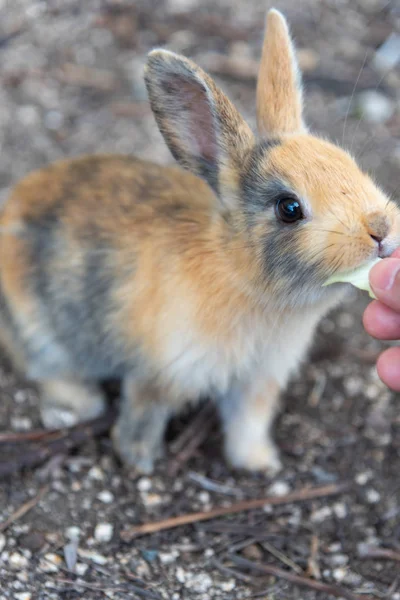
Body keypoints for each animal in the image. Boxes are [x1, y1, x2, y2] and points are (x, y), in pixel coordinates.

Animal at [0, 7, 400, 476]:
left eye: (349, 163)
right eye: (289, 208)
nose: (380, 230)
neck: (238, 273)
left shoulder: (257, 382)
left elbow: (247, 424)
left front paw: (259, 462)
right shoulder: (162, 374)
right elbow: (143, 417)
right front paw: (140, 462)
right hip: (38, 328)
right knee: (43, 367)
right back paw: (84, 403)